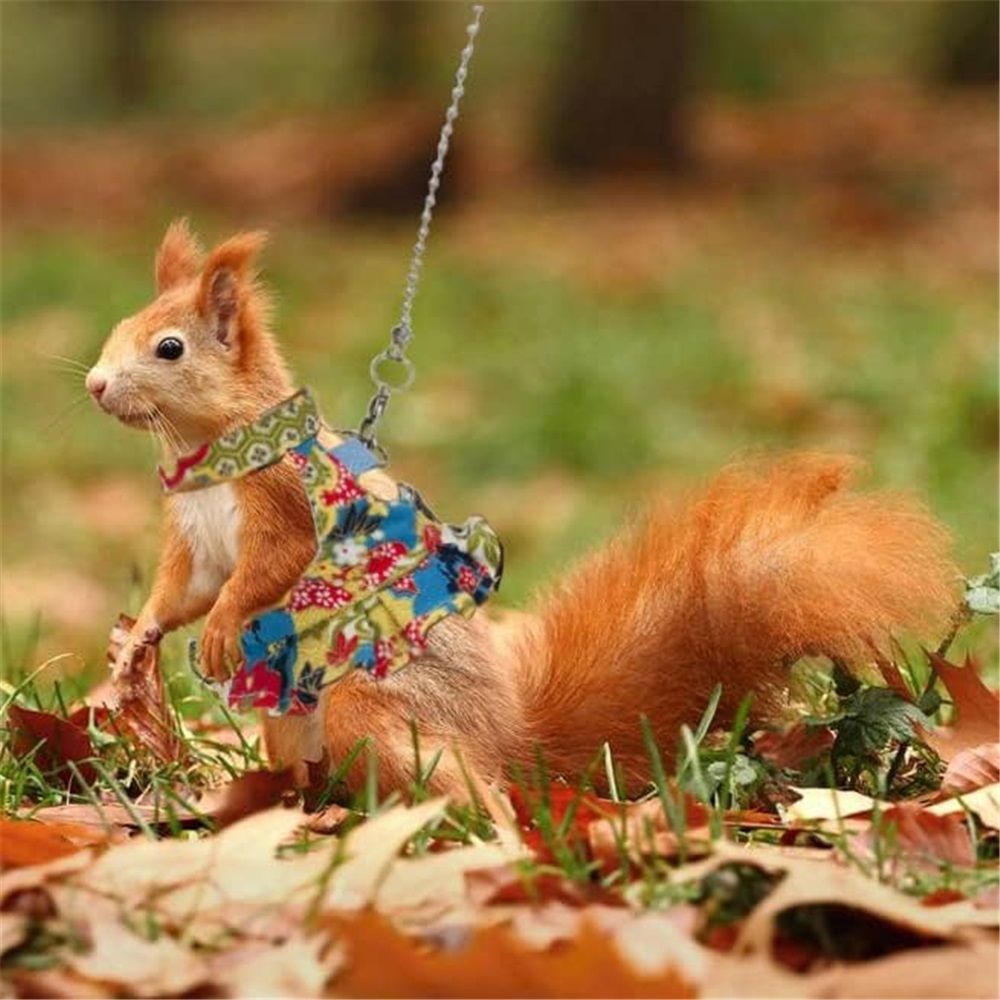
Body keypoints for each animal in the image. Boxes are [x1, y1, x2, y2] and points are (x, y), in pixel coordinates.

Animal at [86, 220, 958, 799]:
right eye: (116, 328)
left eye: (169, 349)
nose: (94, 385)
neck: (213, 459)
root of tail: (513, 740)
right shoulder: (195, 541)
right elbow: (182, 590)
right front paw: (141, 645)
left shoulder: (285, 514)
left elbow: (261, 576)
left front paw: (224, 630)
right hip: (293, 727)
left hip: (371, 706)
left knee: (472, 792)